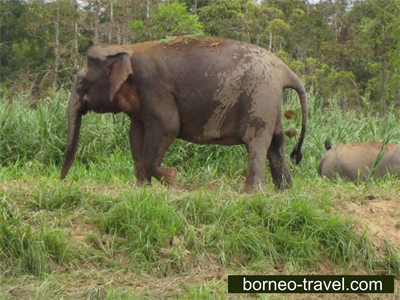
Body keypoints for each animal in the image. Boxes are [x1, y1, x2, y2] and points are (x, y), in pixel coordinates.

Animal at [61, 36, 308, 191]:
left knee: (256, 141)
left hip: (260, 98)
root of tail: (286, 71)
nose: (62, 180)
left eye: (81, 82)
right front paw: (140, 188)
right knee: (277, 142)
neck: (127, 48)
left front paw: (172, 178)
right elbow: (136, 135)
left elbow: (167, 127)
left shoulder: (154, 85)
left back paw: (252, 193)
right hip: (270, 102)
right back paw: (284, 190)